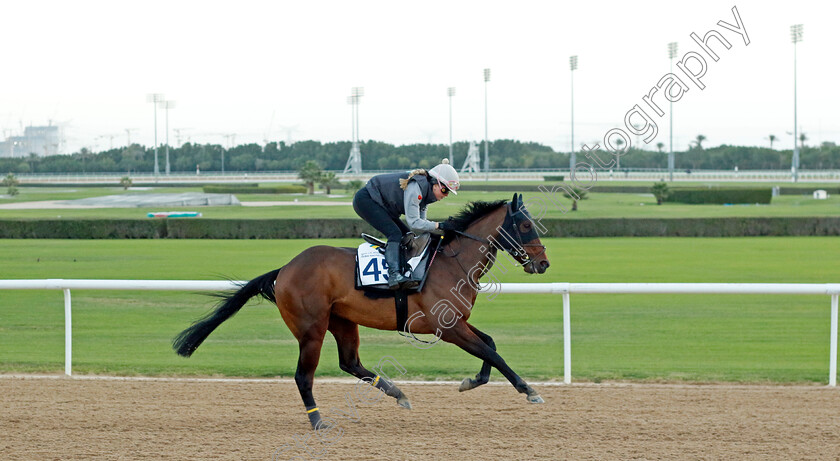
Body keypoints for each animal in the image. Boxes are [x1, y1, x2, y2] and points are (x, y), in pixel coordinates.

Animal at [172, 191, 552, 428]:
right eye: (524, 225)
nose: (543, 263)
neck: (451, 263)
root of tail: (285, 269)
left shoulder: (457, 322)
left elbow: (490, 345)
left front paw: (471, 381)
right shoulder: (447, 327)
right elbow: (493, 351)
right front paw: (529, 390)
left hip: (343, 321)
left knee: (350, 362)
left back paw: (398, 394)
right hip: (311, 329)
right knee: (304, 376)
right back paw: (318, 420)